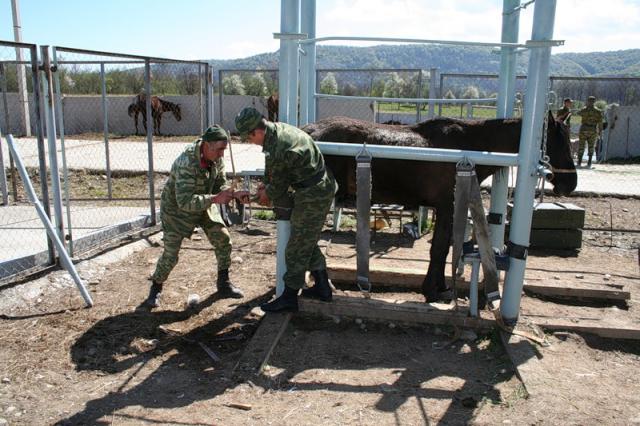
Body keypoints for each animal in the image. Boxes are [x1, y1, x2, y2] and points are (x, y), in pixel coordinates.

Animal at [302, 111, 576, 302]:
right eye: (558, 143)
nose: (570, 184)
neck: (468, 148)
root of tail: (308, 131)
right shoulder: (445, 207)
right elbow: (440, 248)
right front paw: (433, 291)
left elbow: (442, 249)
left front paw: (439, 286)